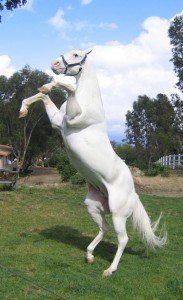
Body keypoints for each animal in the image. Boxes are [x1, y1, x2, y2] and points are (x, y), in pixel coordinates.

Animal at [19, 49, 167, 276]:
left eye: (76, 54)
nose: (54, 64)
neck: (88, 102)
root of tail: (134, 194)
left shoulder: (72, 120)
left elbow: (68, 87)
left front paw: (51, 83)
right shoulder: (57, 122)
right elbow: (44, 96)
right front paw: (24, 108)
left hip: (118, 214)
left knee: (123, 239)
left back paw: (110, 269)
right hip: (93, 206)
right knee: (104, 228)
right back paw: (89, 255)